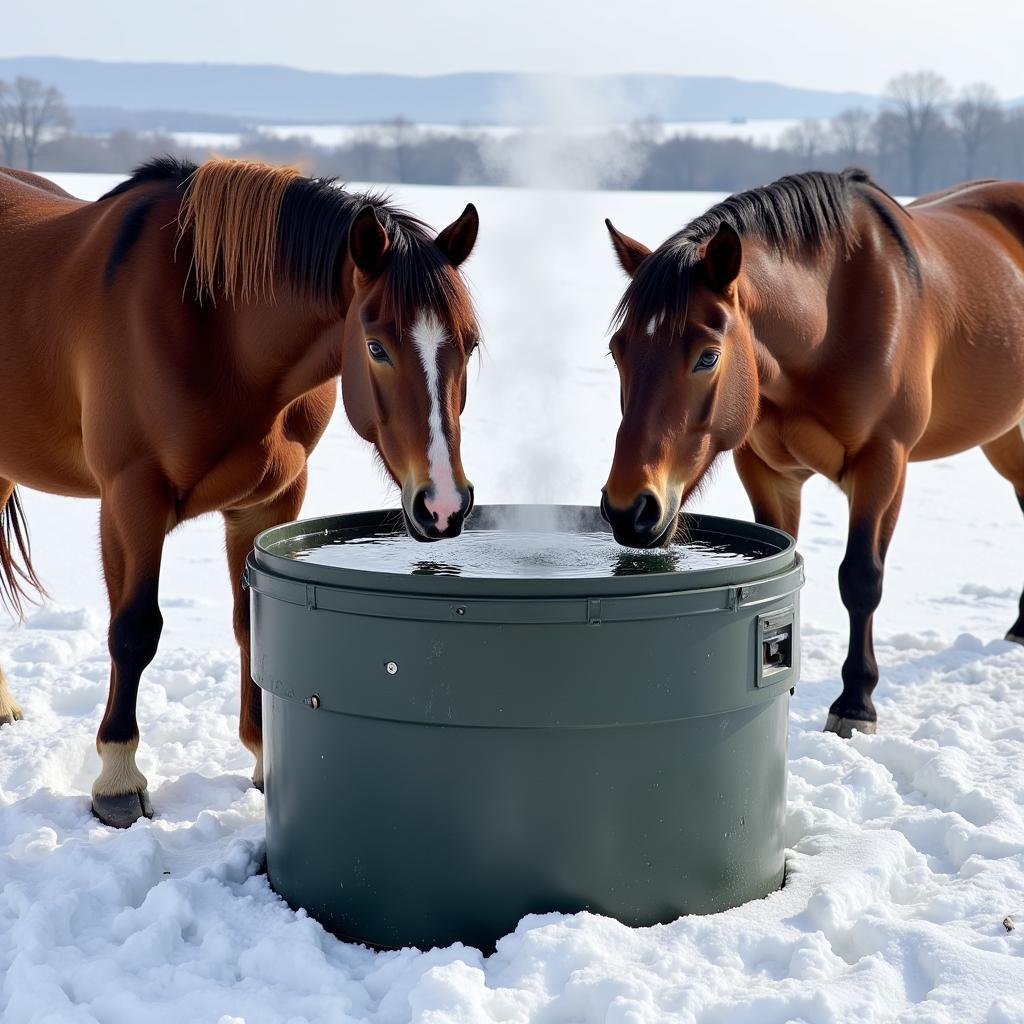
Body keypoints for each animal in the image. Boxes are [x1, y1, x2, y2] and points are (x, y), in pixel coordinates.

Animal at [0, 155, 479, 823]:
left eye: (471, 344)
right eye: (376, 347)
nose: (443, 505)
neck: (214, 330)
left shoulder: (267, 504)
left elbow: (251, 625)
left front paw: (262, 761)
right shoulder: (130, 498)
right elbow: (133, 630)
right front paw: (118, 780)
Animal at [602, 172, 1024, 741]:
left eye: (708, 357)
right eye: (617, 351)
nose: (629, 508)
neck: (832, 320)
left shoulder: (883, 463)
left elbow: (861, 579)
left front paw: (856, 704)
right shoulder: (765, 471)